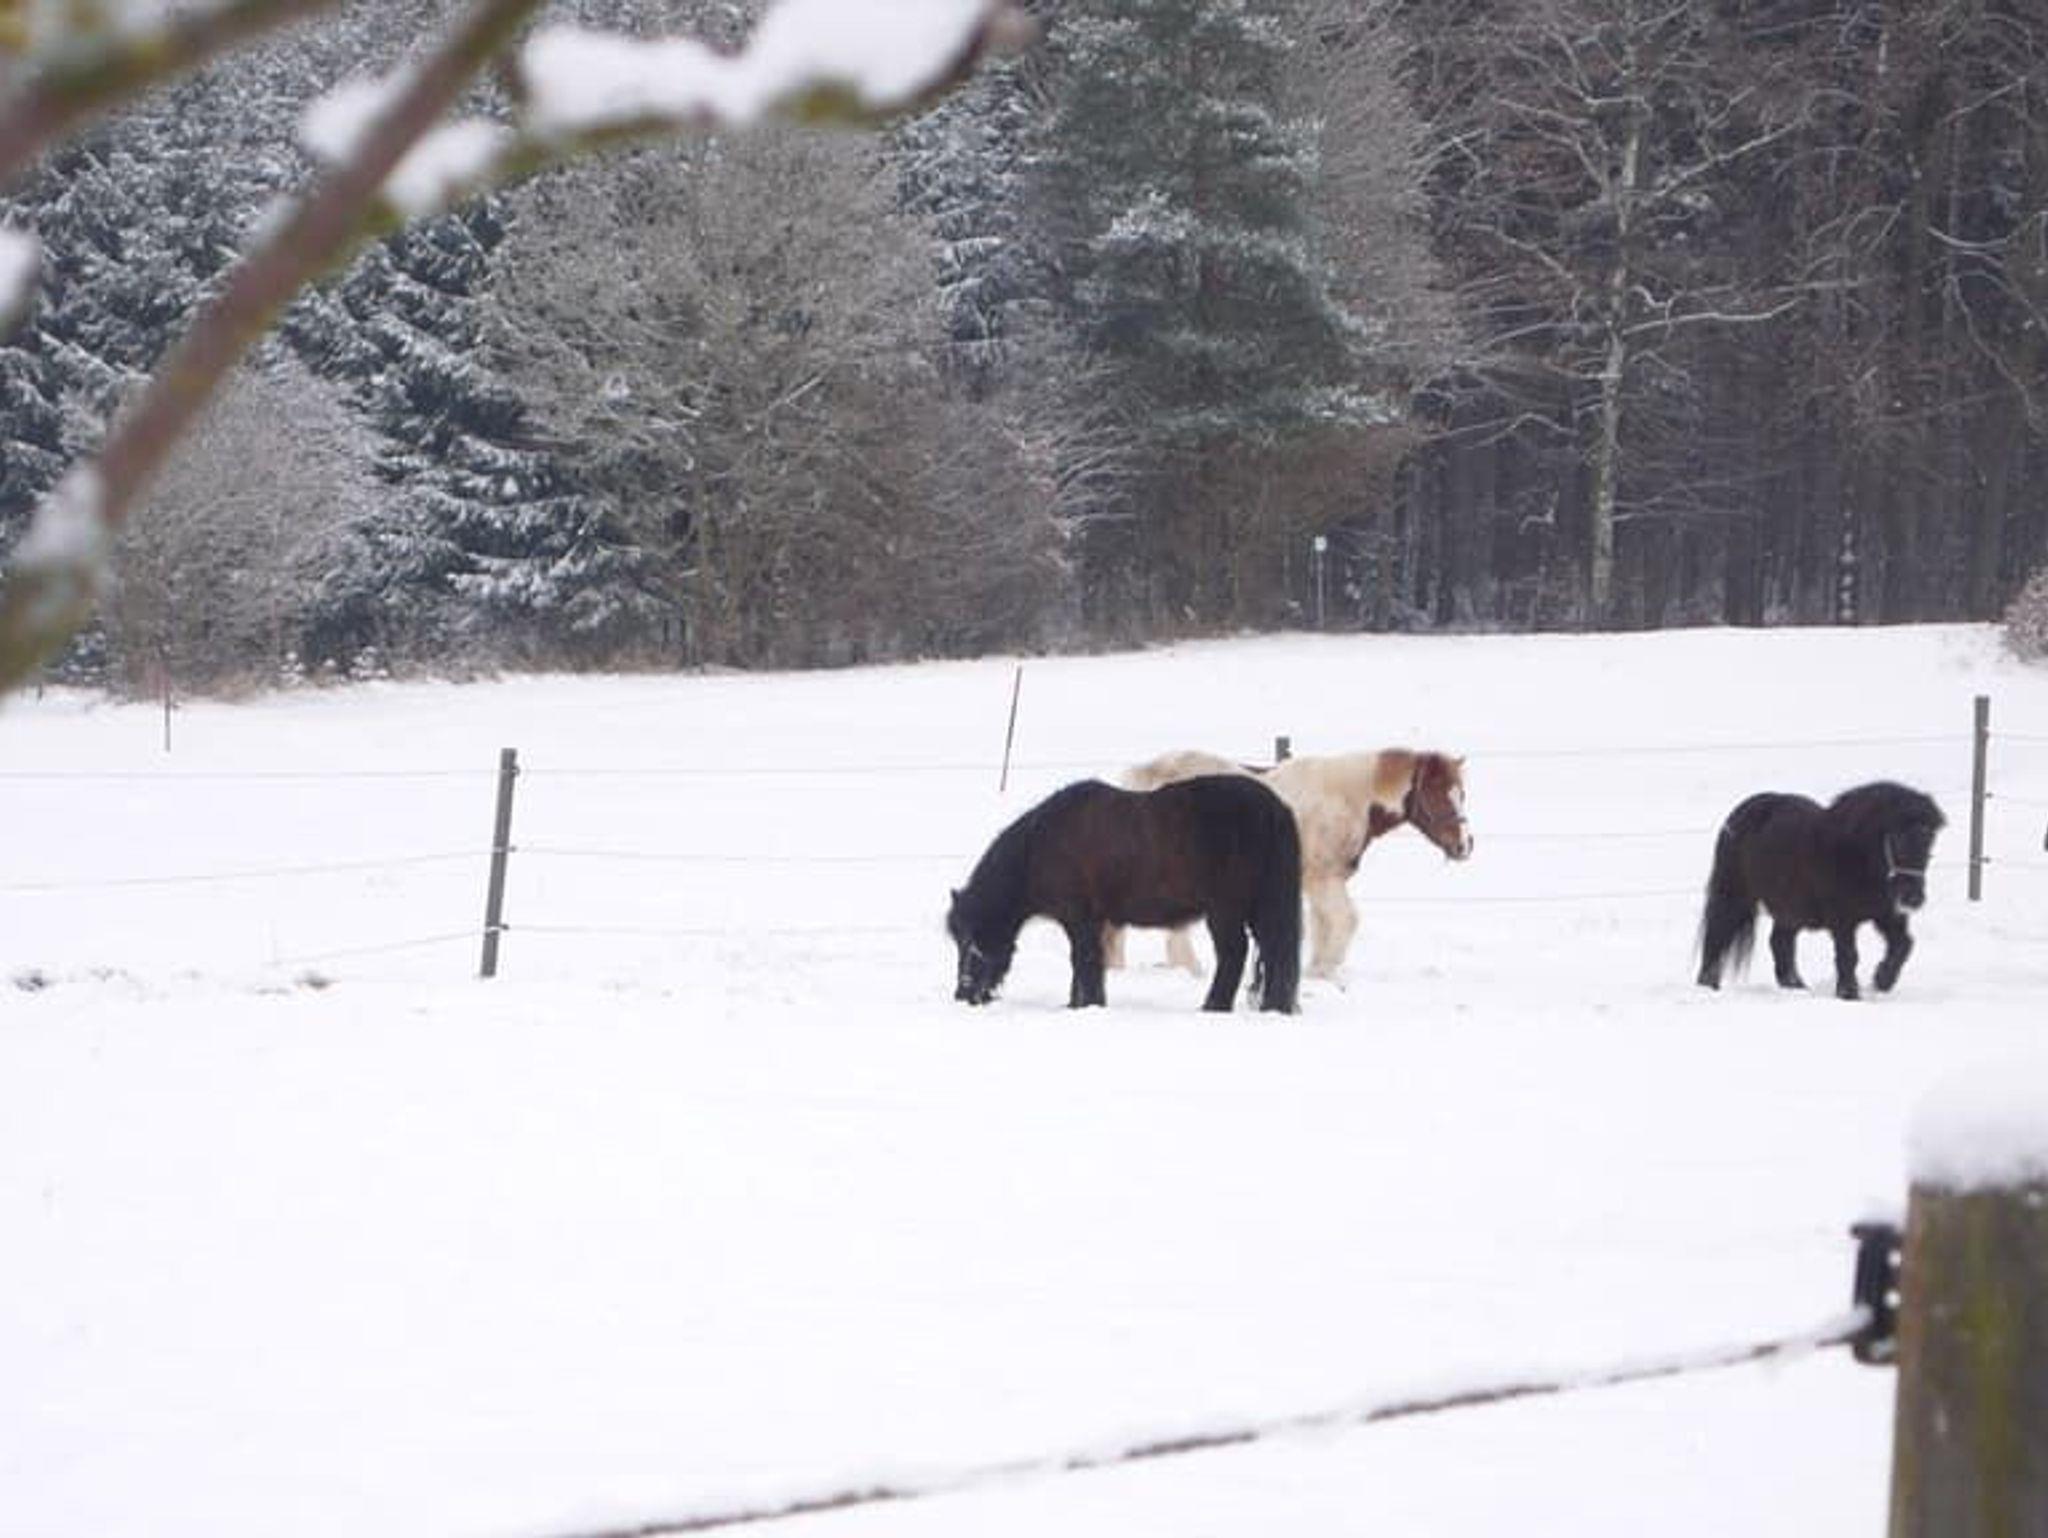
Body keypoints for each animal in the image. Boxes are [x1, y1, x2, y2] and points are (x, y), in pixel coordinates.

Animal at [947, 776, 1302, 1013]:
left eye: (971, 941)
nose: (963, 995)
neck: (1040, 846)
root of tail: (1273, 808)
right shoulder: (1092, 921)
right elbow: (1089, 962)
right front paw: (1085, 1003)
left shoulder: (1078, 918)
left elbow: (1083, 959)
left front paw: (1082, 1005)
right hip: (1259, 909)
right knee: (1274, 952)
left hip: (1226, 911)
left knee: (1234, 954)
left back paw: (1214, 1006)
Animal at [1106, 747, 1474, 980]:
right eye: (1438, 793)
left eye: (1462, 793)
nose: (1465, 845)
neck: (1346, 798)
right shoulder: (1323, 880)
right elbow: (1346, 920)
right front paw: (1323, 970)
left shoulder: (1320, 882)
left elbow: (1323, 925)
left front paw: (1318, 969)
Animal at [1695, 781, 1946, 1001]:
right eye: (1896, 839)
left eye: (1929, 842)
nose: (1912, 898)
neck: (1852, 855)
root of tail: (1743, 810)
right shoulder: (1842, 920)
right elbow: (1848, 955)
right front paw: (1849, 994)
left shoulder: (1886, 914)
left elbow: (1903, 945)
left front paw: (1882, 980)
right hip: (1734, 896)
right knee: (1717, 935)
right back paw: (1708, 984)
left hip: (1789, 910)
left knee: (1779, 943)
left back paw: (1796, 986)